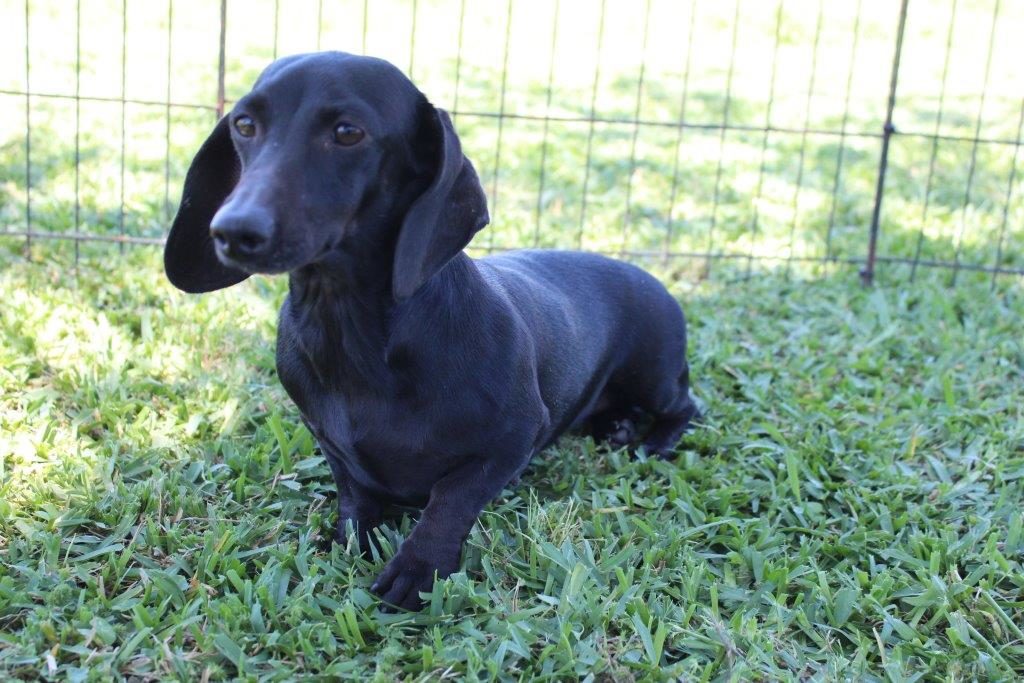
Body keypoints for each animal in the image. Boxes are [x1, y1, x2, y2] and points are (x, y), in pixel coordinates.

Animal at [163, 50, 700, 610]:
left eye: (348, 132)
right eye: (244, 124)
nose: (233, 231)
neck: (354, 339)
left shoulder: (513, 438)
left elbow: (451, 500)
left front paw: (418, 568)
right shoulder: (332, 444)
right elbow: (354, 493)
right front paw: (353, 541)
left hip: (654, 377)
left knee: (687, 406)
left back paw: (653, 441)